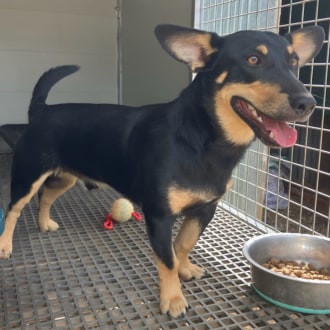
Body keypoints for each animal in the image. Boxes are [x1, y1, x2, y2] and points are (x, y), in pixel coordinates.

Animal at [0, 24, 324, 316]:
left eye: (294, 62)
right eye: (253, 60)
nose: (308, 103)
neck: (203, 139)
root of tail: (41, 109)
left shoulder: (204, 210)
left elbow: (183, 245)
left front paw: (185, 269)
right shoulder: (159, 216)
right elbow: (166, 259)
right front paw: (173, 299)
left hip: (65, 177)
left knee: (45, 197)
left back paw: (44, 223)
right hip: (28, 175)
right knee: (15, 209)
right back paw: (5, 245)